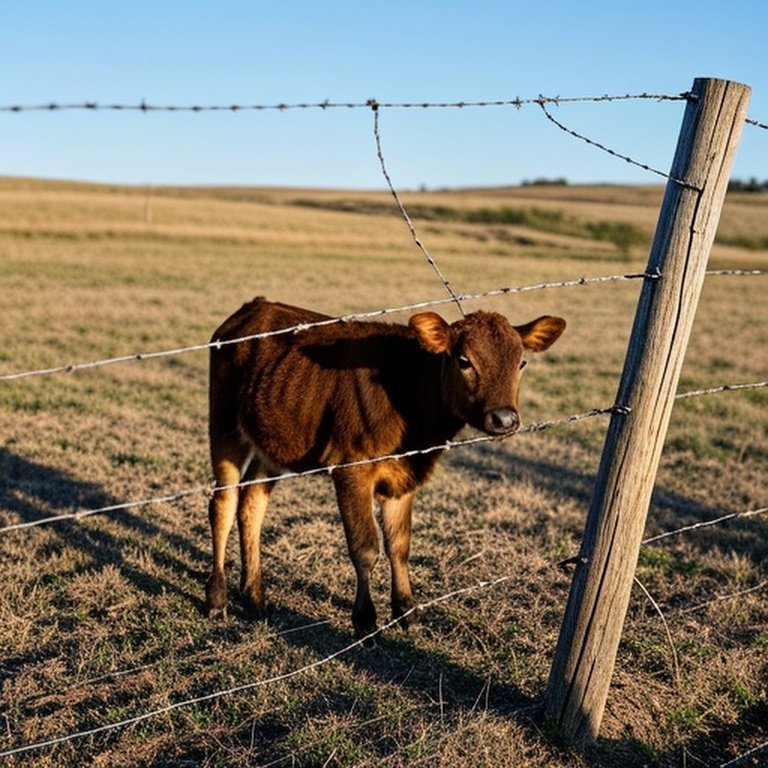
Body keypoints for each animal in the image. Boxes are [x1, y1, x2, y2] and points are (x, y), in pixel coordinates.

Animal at [205, 297, 565, 637]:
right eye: (464, 361)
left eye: (521, 362)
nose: (504, 419)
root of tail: (256, 306)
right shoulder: (351, 468)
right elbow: (365, 547)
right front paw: (365, 620)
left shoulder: (404, 475)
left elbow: (399, 545)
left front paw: (406, 610)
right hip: (224, 424)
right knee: (223, 502)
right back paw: (217, 598)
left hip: (272, 442)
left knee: (252, 502)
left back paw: (254, 595)